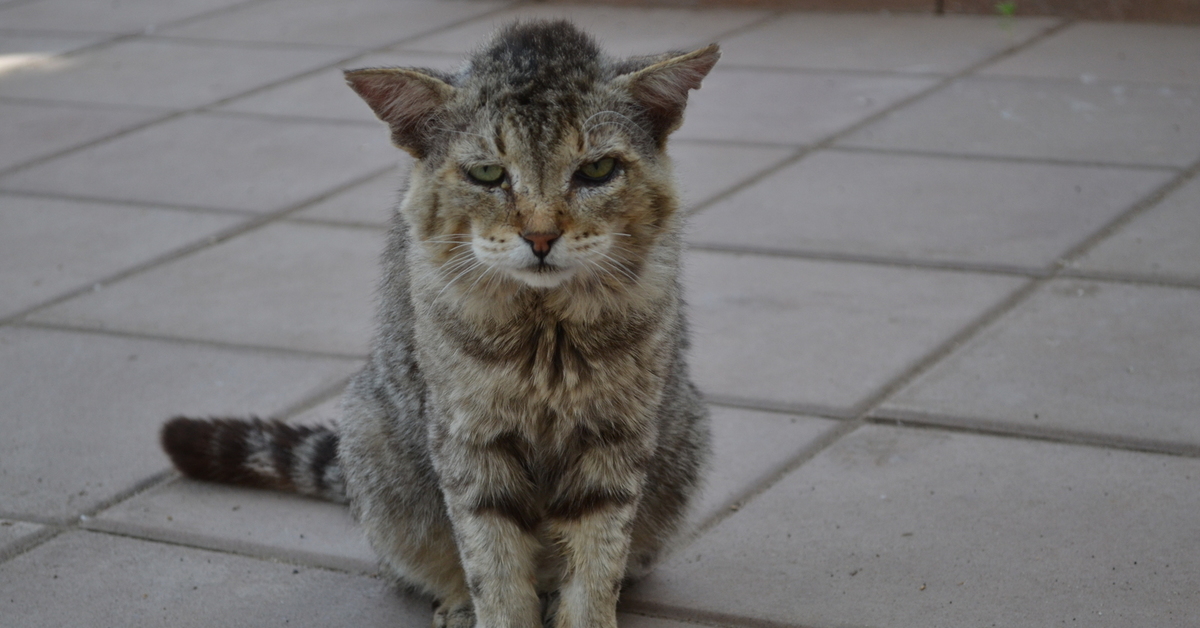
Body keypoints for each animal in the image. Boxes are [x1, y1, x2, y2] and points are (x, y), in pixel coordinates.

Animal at [163, 19, 715, 628]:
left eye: (596, 170)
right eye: (487, 173)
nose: (541, 236)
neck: (545, 335)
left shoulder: (616, 440)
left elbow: (596, 567)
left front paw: (585, 612)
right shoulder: (469, 445)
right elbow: (493, 567)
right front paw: (495, 609)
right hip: (372, 441)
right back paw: (458, 606)